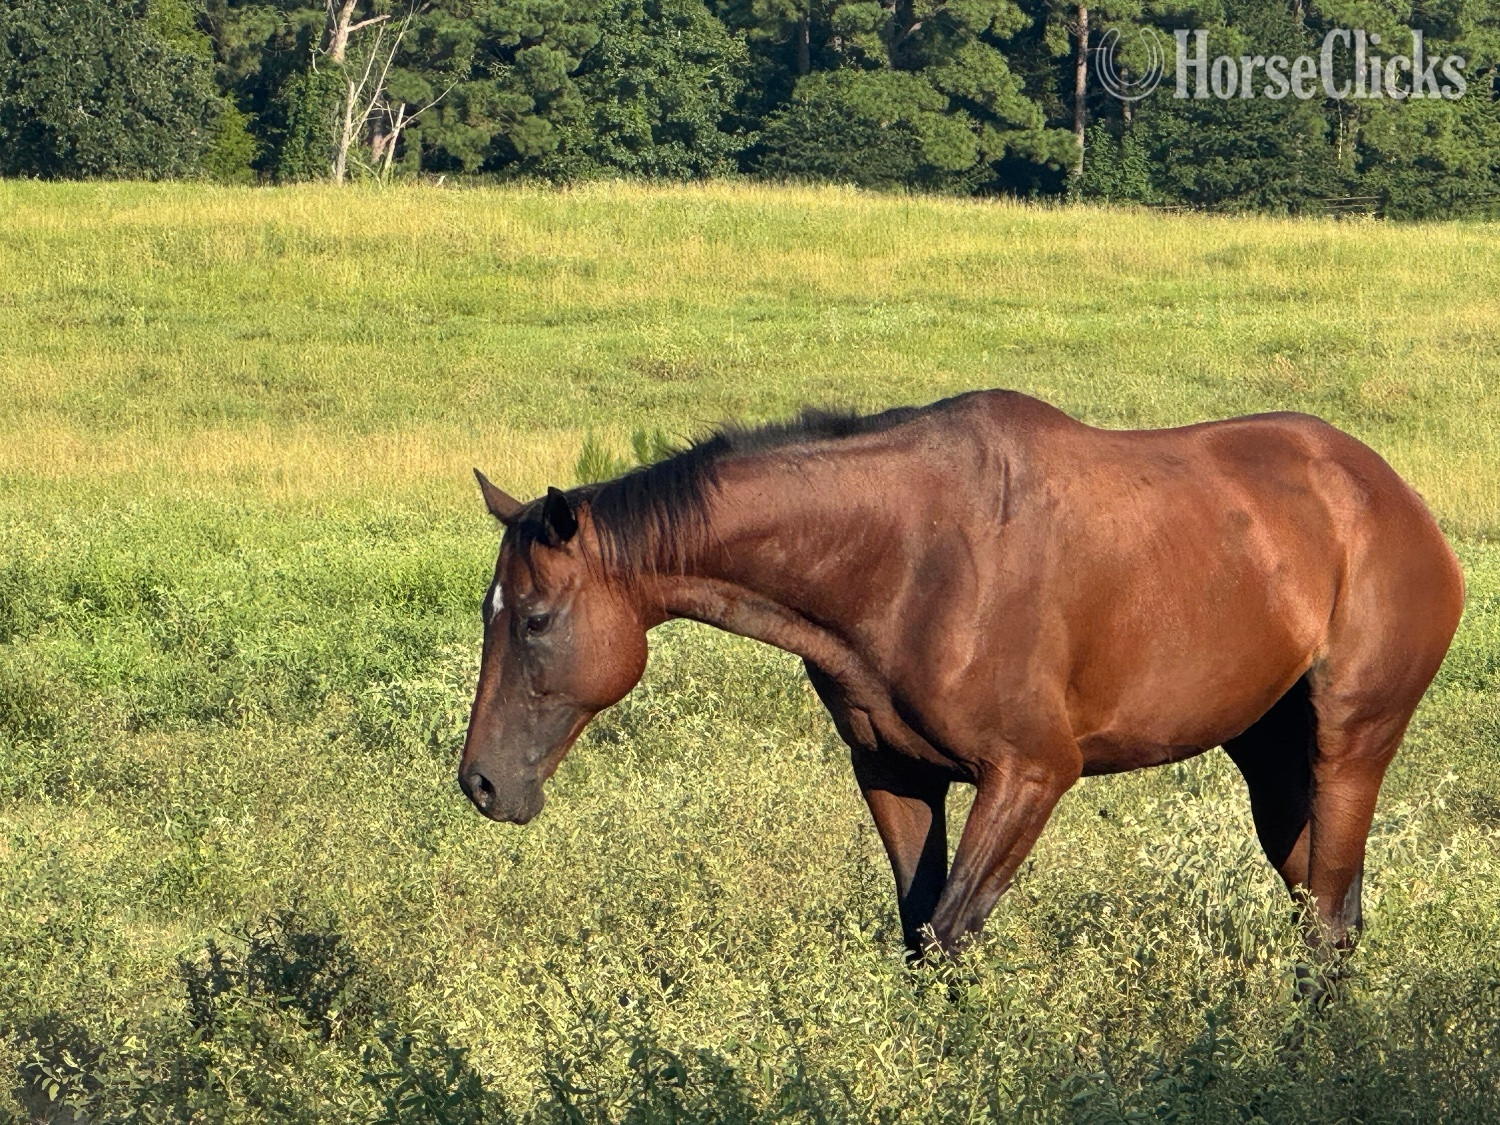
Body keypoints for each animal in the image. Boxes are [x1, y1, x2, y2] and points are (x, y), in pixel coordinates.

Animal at [459, 389, 1464, 971]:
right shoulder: (896, 774)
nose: (481, 783)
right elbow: (917, 936)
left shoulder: (1031, 774)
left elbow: (948, 937)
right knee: (1326, 911)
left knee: (1328, 922)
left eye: (535, 617)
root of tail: (1395, 498)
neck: (907, 558)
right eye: (488, 609)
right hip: (1271, 765)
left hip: (1351, 743)